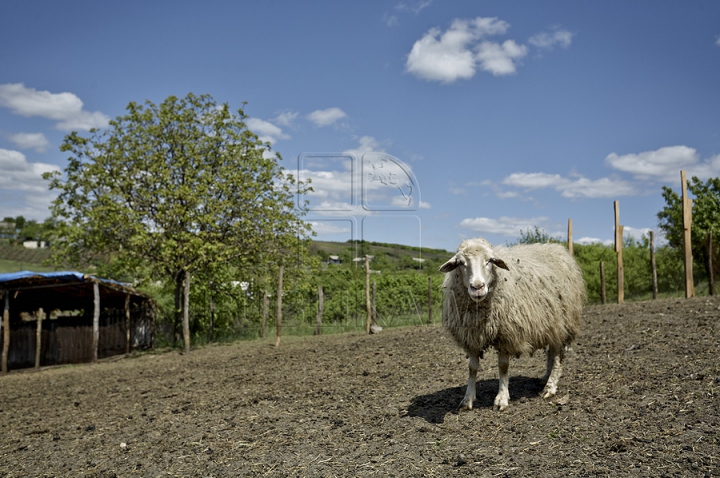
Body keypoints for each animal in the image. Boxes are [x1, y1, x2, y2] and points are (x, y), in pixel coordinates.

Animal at [438, 237, 584, 408]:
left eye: (490, 261)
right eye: (461, 263)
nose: (477, 287)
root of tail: (557, 249)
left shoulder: (506, 334)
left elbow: (503, 366)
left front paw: (501, 398)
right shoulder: (471, 336)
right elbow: (472, 368)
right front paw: (467, 399)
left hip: (565, 321)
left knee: (559, 355)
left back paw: (551, 386)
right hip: (551, 324)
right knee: (552, 352)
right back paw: (545, 378)